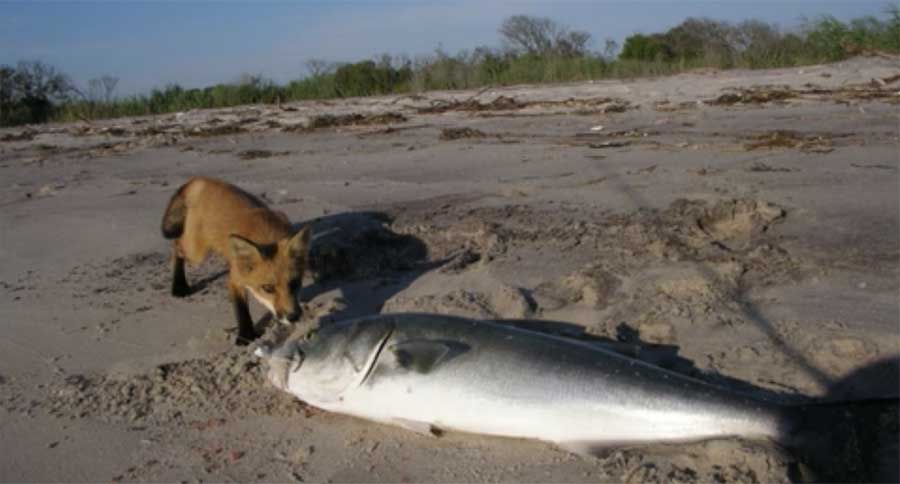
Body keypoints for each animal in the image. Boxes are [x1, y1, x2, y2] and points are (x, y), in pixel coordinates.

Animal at [160, 177, 312, 345]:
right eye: (268, 288)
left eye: (294, 283)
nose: (293, 317)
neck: (266, 234)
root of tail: (202, 180)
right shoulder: (235, 279)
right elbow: (241, 309)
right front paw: (246, 336)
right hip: (196, 253)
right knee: (177, 246)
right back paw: (179, 286)